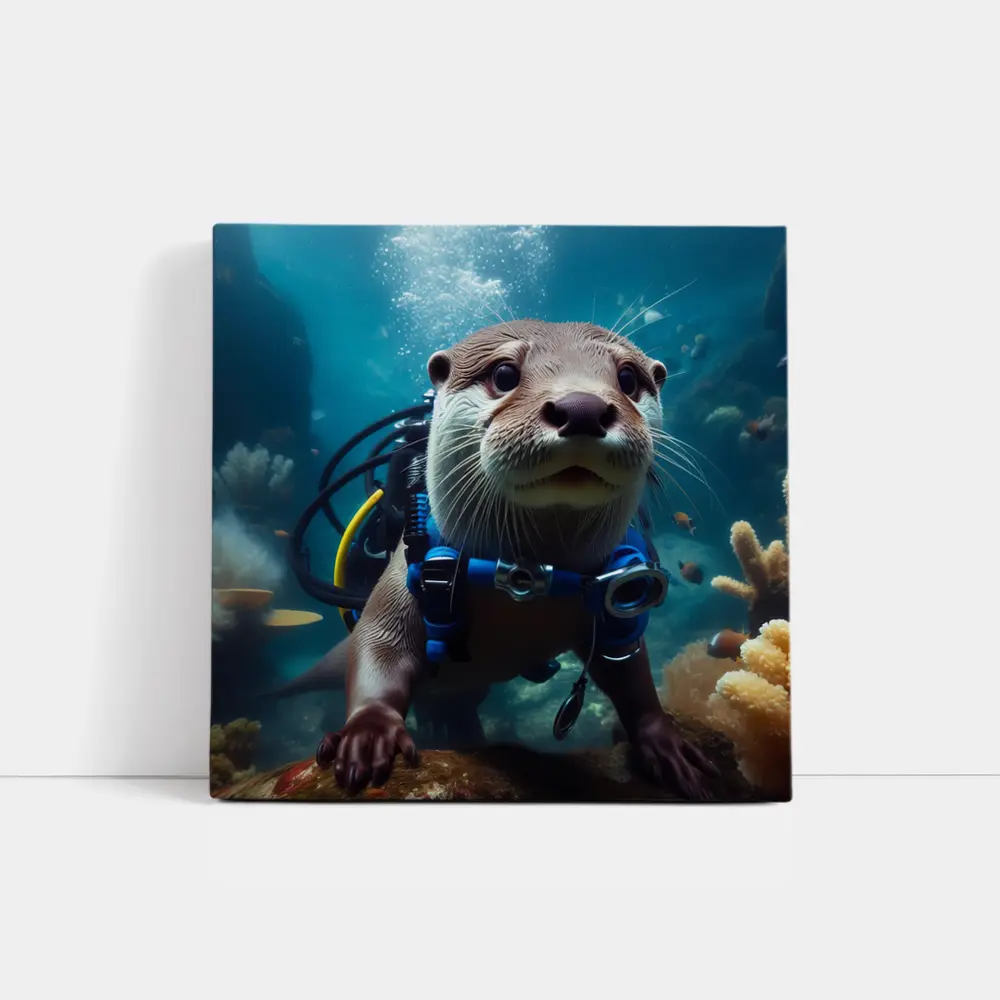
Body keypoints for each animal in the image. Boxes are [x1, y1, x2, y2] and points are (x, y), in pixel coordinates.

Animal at [316, 320, 718, 798]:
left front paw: (666, 743)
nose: (582, 407)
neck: (528, 577)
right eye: (504, 373)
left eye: (627, 379)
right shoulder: (401, 579)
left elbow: (630, 672)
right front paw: (368, 734)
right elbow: (379, 646)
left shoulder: (618, 598)